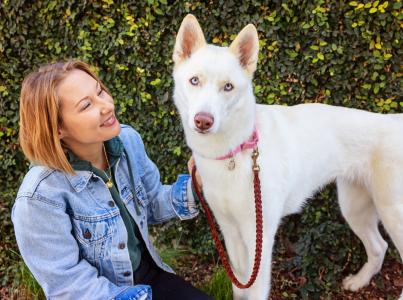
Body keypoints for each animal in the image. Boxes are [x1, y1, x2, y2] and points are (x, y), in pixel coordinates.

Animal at [172, 14, 402, 300]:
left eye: (228, 87)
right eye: (194, 81)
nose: (203, 121)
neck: (235, 152)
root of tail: (395, 120)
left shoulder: (258, 237)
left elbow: (256, 289)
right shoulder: (230, 233)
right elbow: (240, 285)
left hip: (392, 212)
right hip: (354, 208)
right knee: (379, 246)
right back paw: (359, 281)